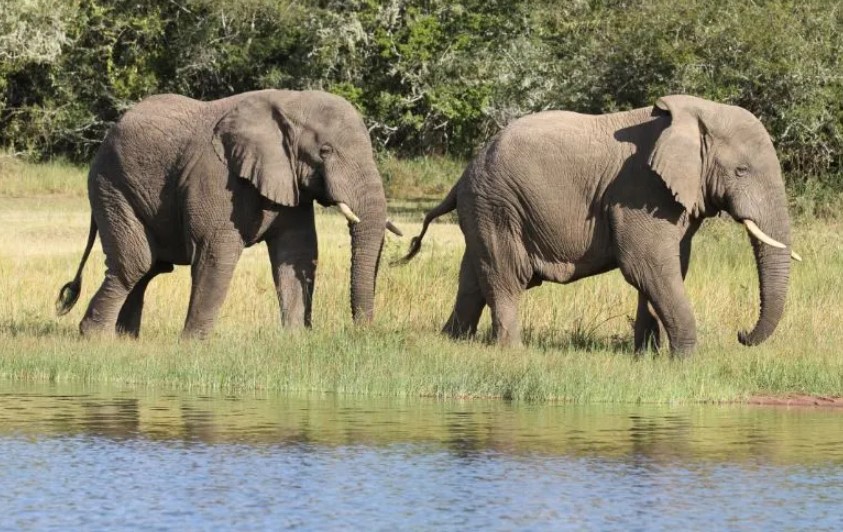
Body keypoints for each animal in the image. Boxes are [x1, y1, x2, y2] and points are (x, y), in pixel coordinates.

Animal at [57, 87, 400, 336]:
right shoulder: (216, 177)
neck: (290, 101)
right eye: (325, 151)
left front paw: (296, 339)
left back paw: (126, 339)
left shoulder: (288, 180)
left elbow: (296, 252)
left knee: (150, 267)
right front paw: (194, 345)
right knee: (135, 262)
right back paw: (94, 337)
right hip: (111, 186)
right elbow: (216, 252)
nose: (362, 333)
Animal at [402, 94, 804, 358]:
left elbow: (667, 267)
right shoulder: (638, 188)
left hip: (484, 208)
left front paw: (647, 358)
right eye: (741, 171)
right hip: (498, 205)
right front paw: (685, 362)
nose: (741, 334)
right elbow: (645, 265)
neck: (697, 113)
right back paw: (512, 352)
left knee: (473, 277)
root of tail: (463, 174)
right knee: (505, 276)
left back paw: (454, 342)